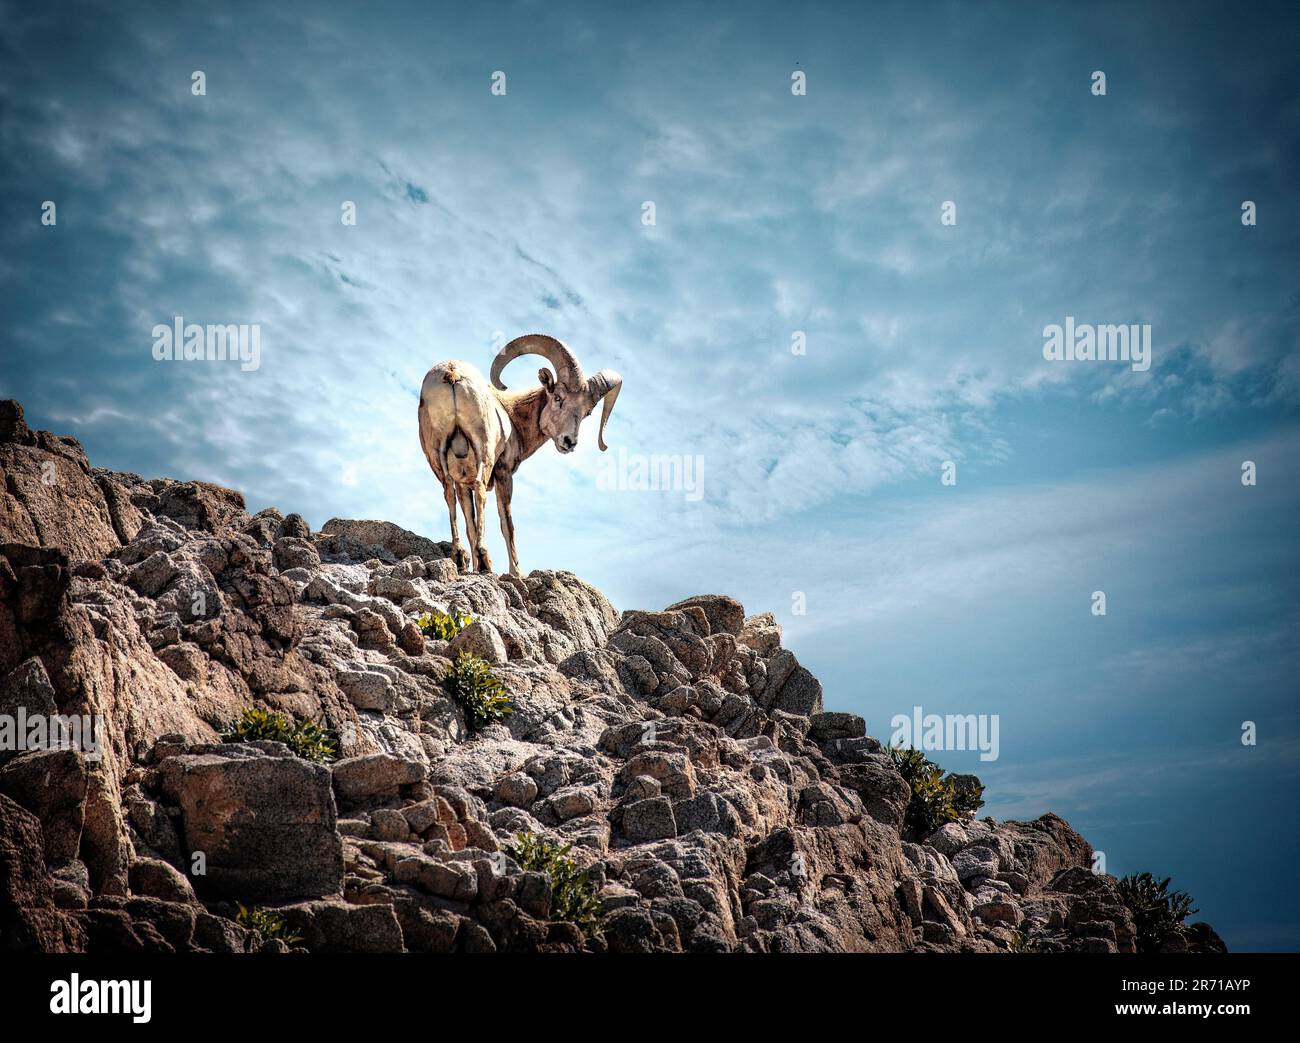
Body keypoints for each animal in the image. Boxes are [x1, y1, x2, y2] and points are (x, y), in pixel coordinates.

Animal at [417, 334, 622, 576]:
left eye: (587, 412)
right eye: (558, 398)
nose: (569, 442)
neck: (512, 416)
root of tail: (452, 374)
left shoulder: (462, 482)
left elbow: (470, 523)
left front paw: (474, 566)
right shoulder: (504, 473)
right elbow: (507, 524)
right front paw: (516, 572)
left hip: (437, 455)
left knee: (448, 493)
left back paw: (459, 557)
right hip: (483, 450)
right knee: (481, 490)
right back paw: (485, 560)